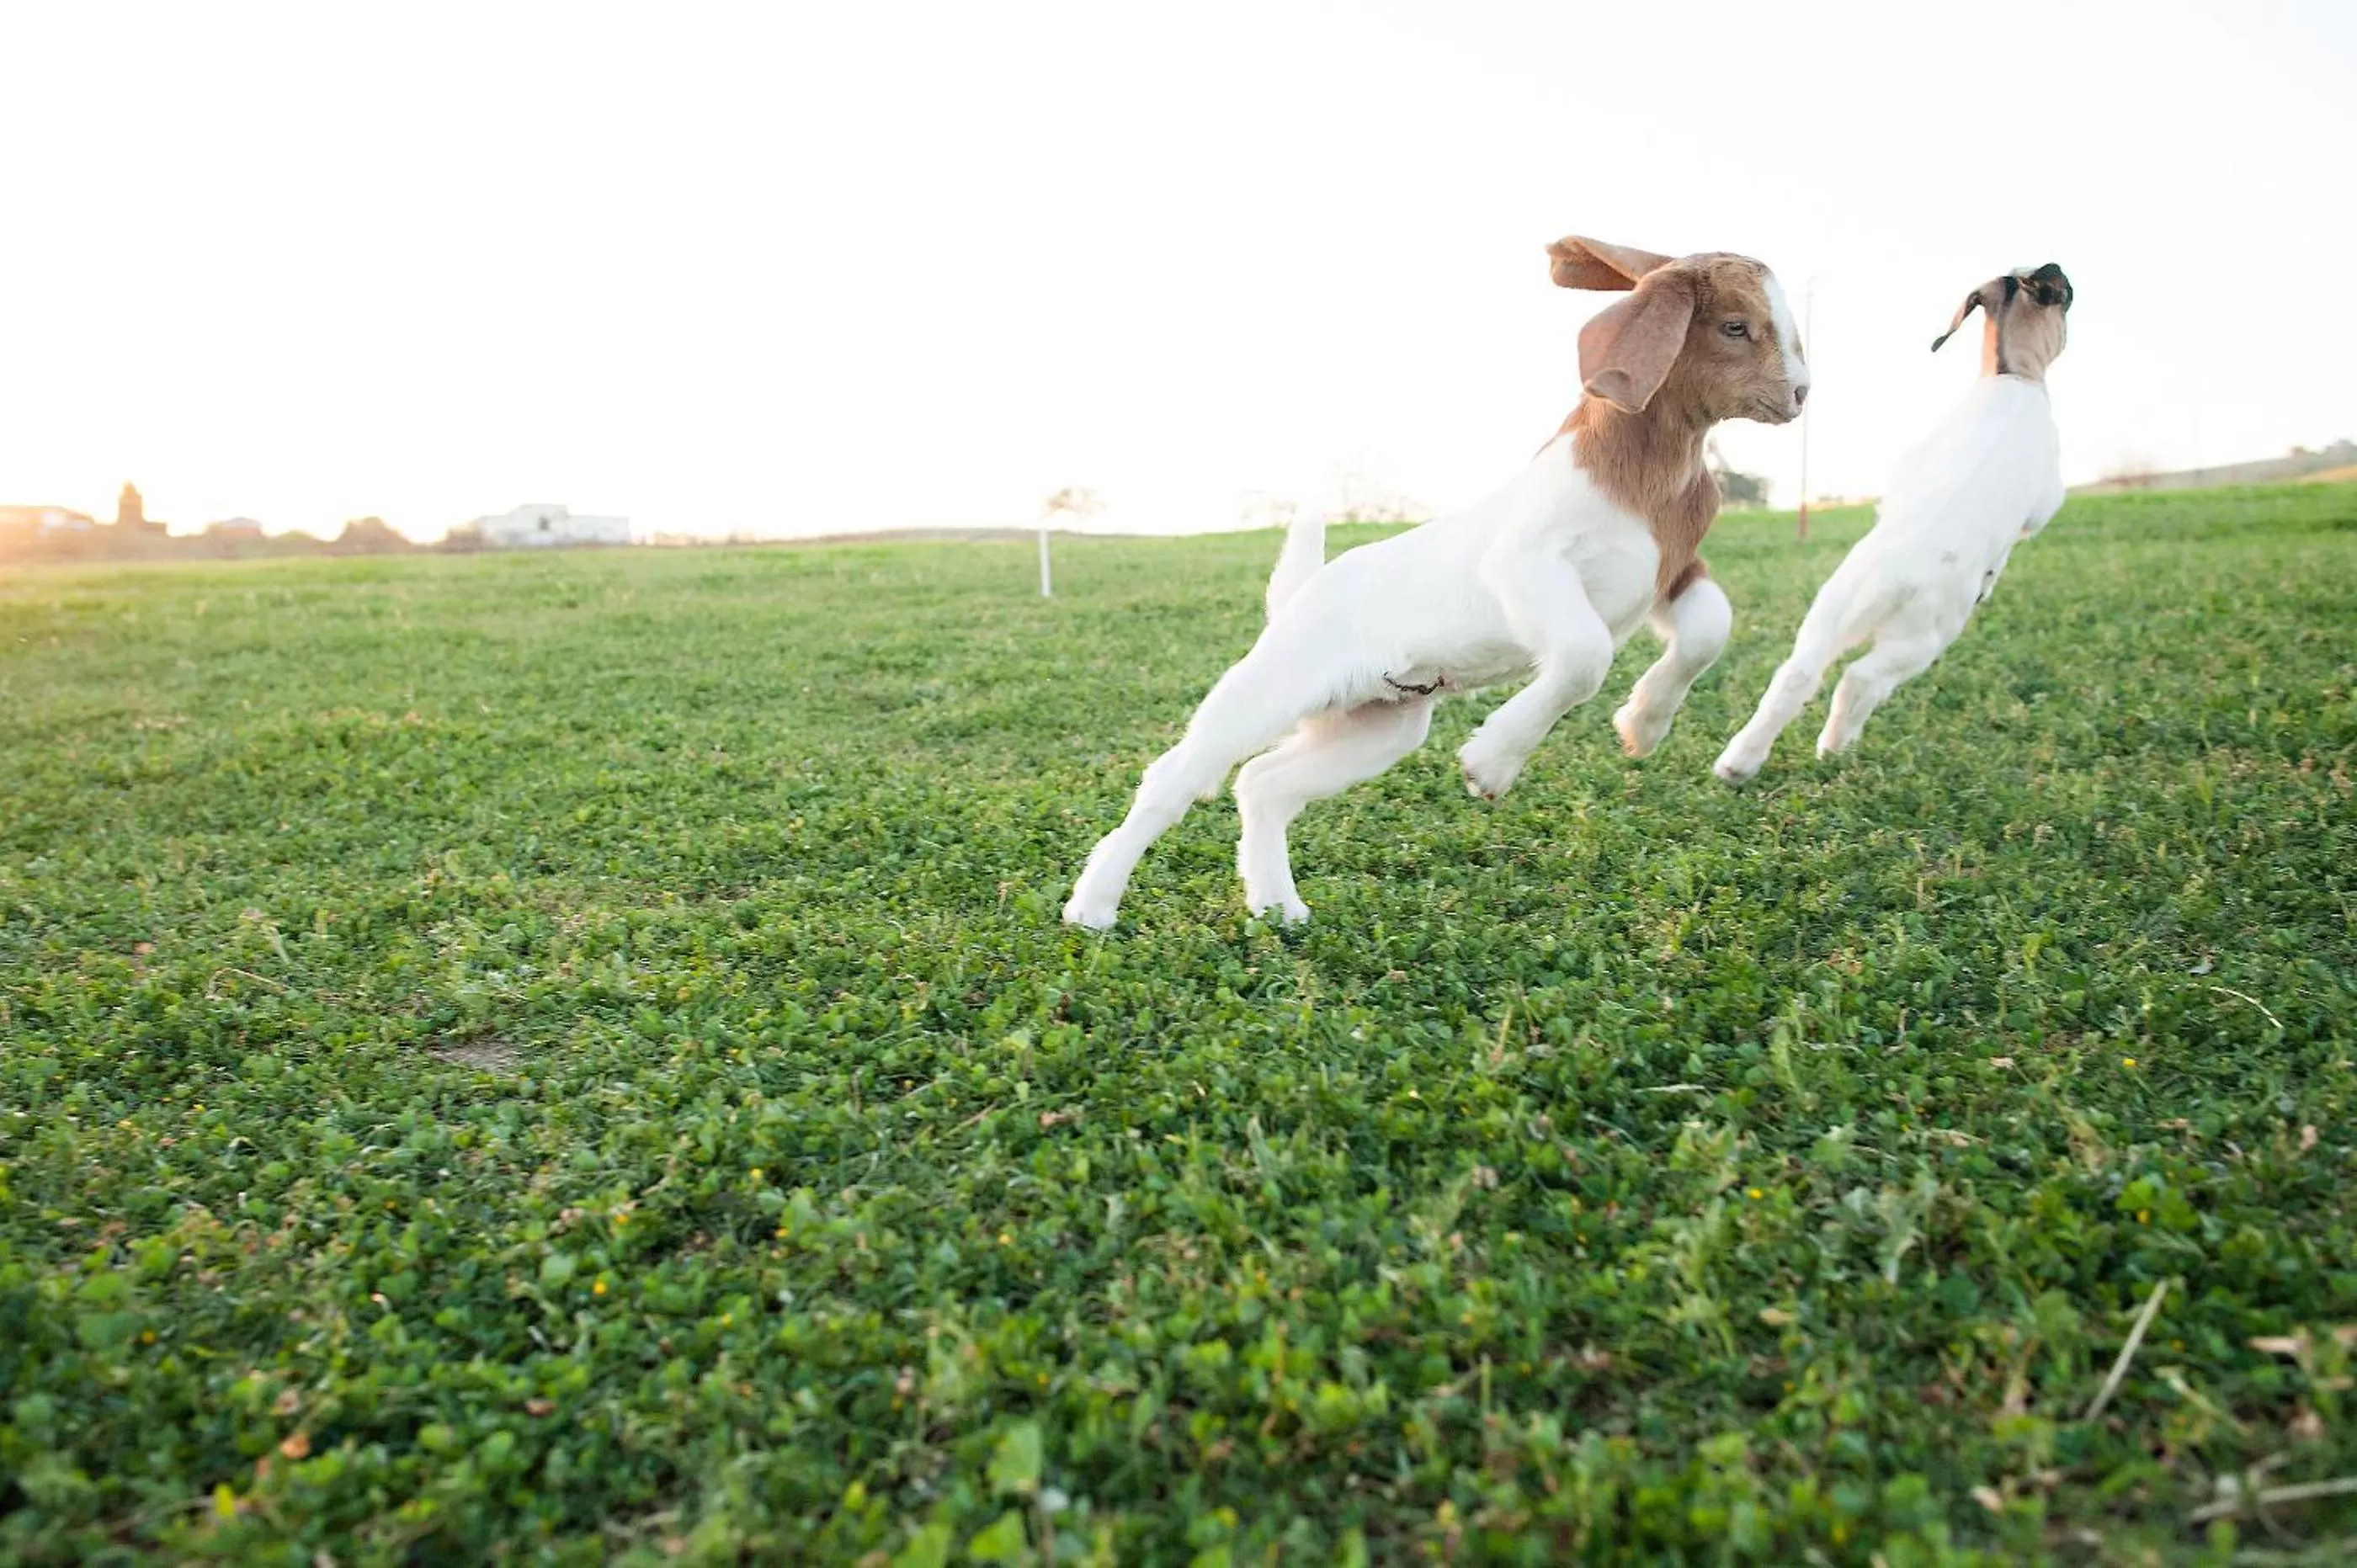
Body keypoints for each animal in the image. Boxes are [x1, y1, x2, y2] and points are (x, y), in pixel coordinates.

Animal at [1061, 236, 1810, 931]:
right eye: (1736, 326)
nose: (1802, 393)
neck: (1651, 469)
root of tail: (1300, 597)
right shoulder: (1525, 562)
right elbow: (1583, 656)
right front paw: (1492, 762)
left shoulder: (1671, 571)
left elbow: (1708, 631)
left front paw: (1643, 726)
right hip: (1269, 688)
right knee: (1178, 775)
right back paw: (1092, 907)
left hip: (1375, 727)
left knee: (1263, 782)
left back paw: (1277, 905)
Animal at [1712, 263, 2073, 784]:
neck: (2011, 375)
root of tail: (1889, 581)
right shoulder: (2044, 497)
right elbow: (2024, 530)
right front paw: (1992, 575)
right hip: (1924, 640)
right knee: (1858, 679)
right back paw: (1834, 746)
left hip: (1827, 617)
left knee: (1796, 676)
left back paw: (1738, 762)